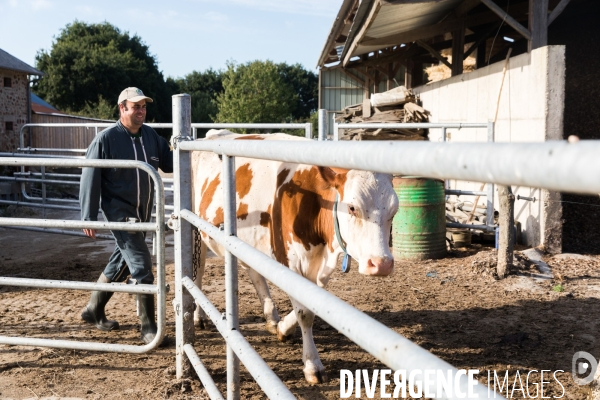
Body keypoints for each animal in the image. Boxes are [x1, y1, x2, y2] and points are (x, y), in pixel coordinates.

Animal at [192, 130, 398, 382]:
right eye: (352, 207)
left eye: (394, 210)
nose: (381, 264)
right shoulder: (292, 263)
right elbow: (305, 313)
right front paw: (312, 365)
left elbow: (310, 304)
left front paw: (282, 328)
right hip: (196, 231)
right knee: (198, 270)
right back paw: (199, 316)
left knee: (254, 272)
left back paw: (271, 317)